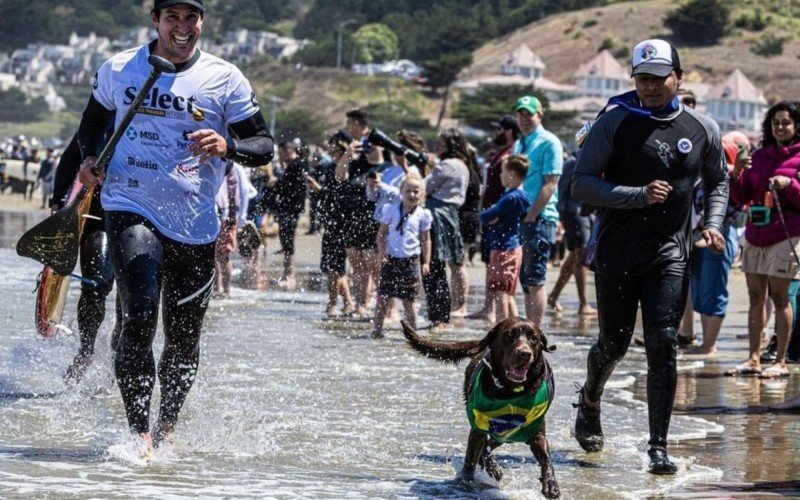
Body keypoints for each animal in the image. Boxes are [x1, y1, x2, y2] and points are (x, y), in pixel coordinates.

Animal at [404, 318, 560, 498]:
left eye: (534, 338)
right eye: (509, 335)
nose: (525, 353)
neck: (509, 392)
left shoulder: (536, 432)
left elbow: (546, 458)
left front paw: (551, 484)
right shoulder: (478, 428)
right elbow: (470, 460)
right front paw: (465, 484)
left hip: (506, 434)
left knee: (489, 445)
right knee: (484, 447)